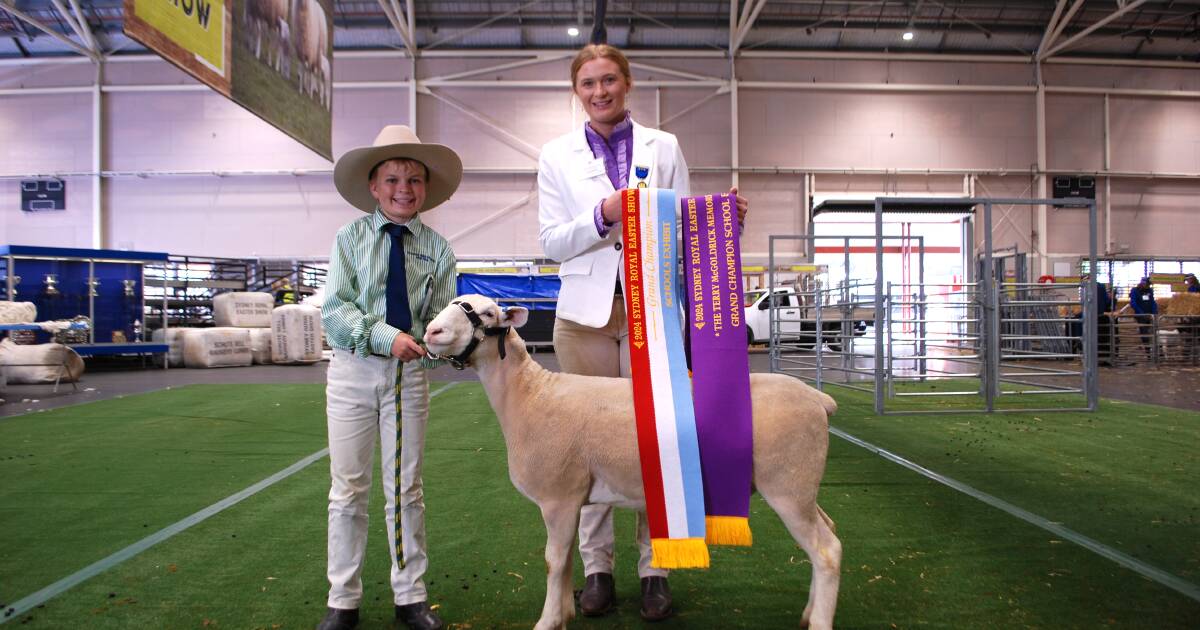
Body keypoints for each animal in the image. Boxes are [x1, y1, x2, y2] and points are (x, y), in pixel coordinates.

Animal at [424, 296, 844, 628]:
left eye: (487, 313)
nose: (431, 331)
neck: (530, 395)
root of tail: (818, 399)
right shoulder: (572, 501)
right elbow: (566, 560)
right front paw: (566, 612)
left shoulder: (558, 497)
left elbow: (552, 561)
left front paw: (548, 621)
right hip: (803, 486)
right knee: (828, 532)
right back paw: (809, 612)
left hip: (787, 484)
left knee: (826, 550)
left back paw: (819, 620)